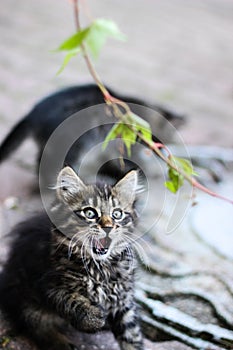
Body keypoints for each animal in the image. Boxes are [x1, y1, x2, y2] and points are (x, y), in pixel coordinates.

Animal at [0, 167, 144, 350]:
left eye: (117, 214)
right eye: (89, 213)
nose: (108, 227)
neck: (99, 268)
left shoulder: (124, 298)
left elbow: (132, 335)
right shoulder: (49, 284)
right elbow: (71, 300)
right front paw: (94, 318)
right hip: (23, 294)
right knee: (36, 324)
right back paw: (62, 343)